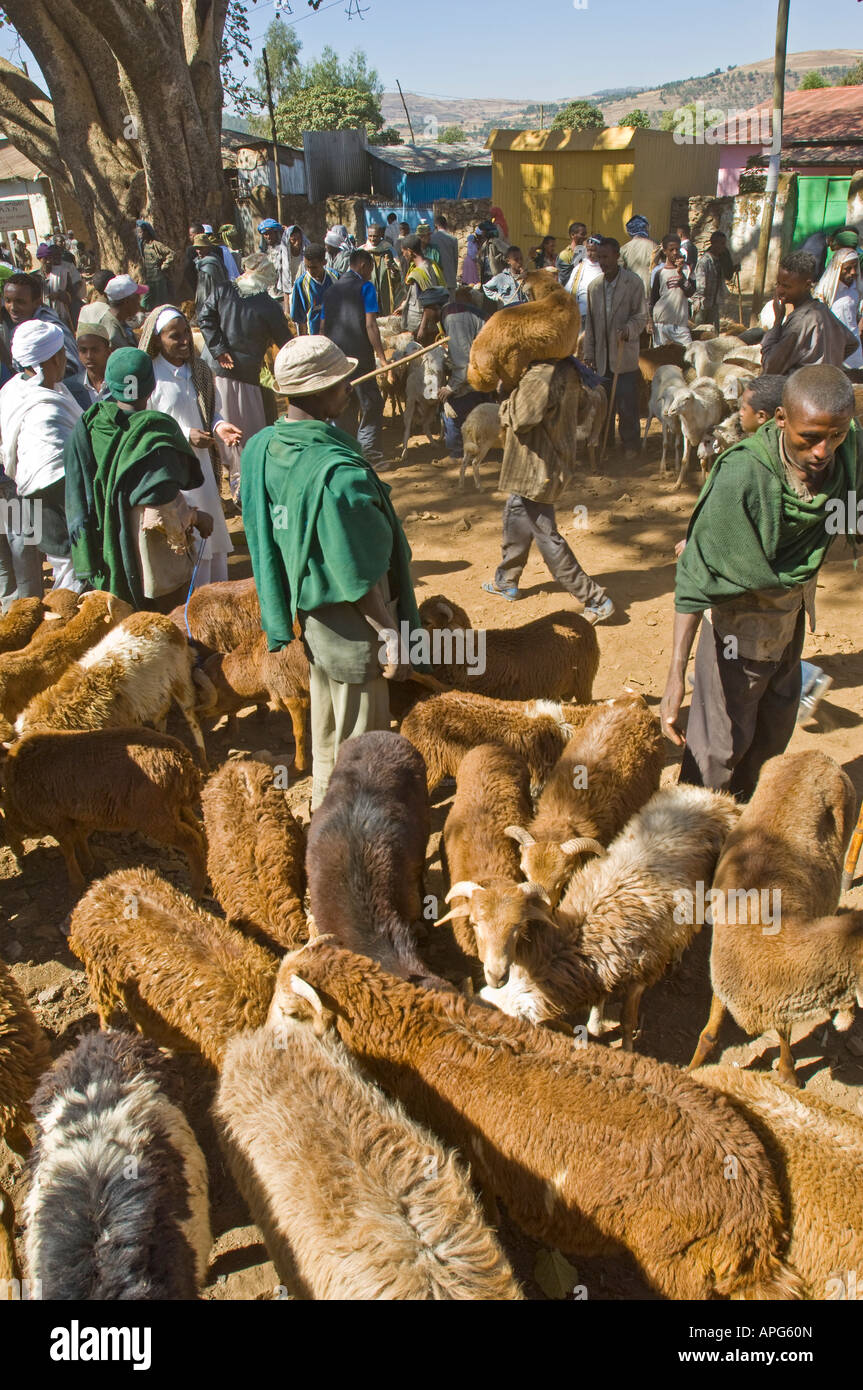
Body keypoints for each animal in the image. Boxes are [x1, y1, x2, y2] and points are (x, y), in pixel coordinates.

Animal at [0, 722, 207, 895]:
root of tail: (183, 760)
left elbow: (67, 849)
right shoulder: (76, 819)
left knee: (192, 841)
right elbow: (79, 839)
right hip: (176, 808)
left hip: (155, 818)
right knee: (199, 830)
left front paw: (77, 882)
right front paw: (87, 863)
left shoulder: (56, 820)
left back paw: (196, 890)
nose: (16, 851)